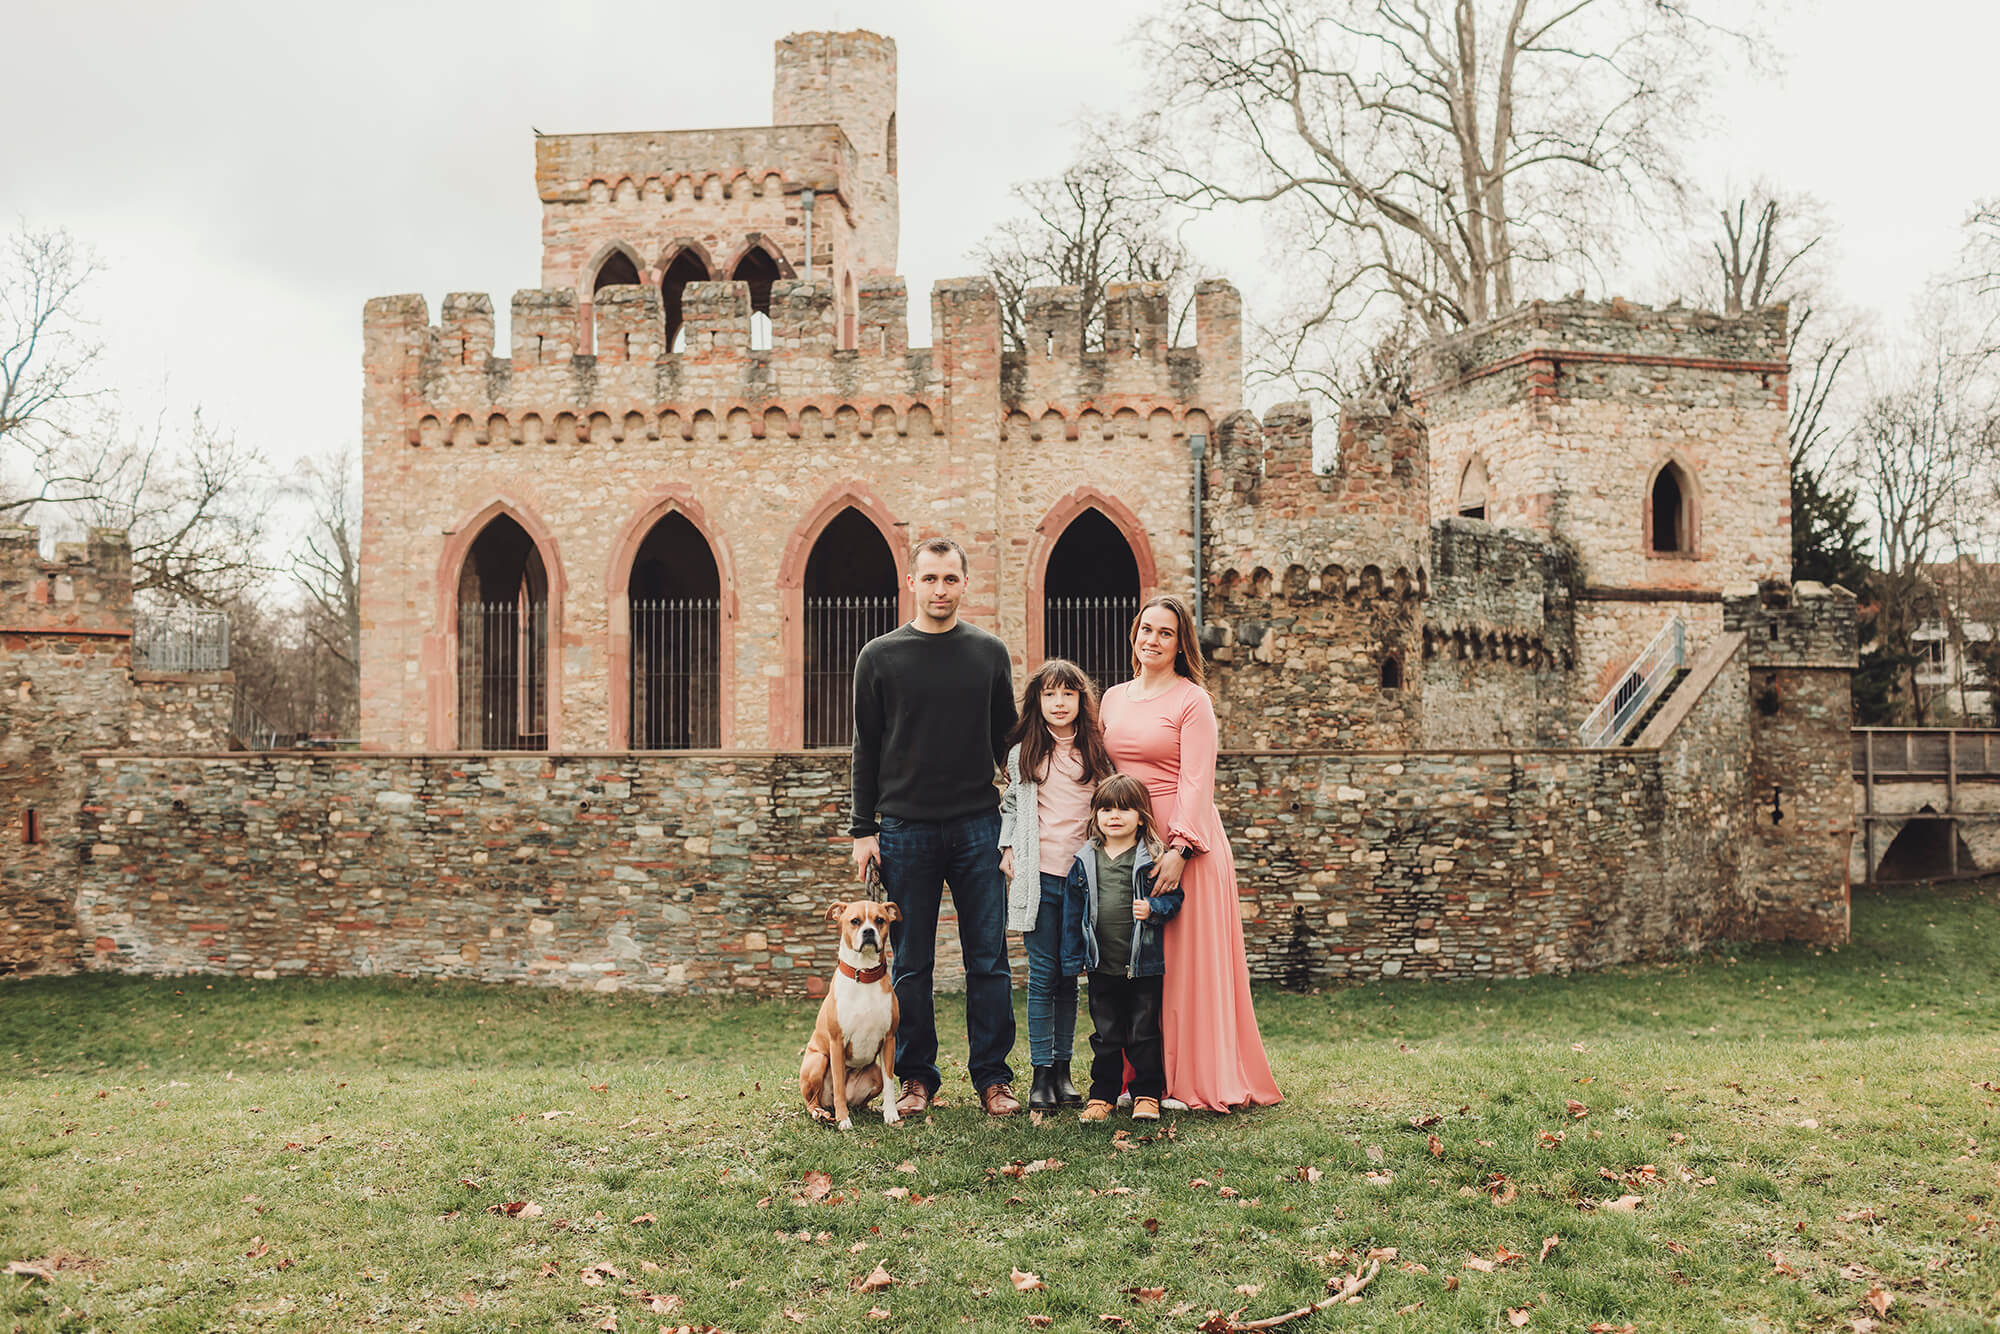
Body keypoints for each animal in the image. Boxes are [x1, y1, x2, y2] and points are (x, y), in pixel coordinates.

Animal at [800, 904, 904, 1136]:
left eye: (880, 920)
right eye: (855, 921)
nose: (868, 931)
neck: (864, 975)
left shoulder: (889, 1040)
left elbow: (890, 1082)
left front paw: (891, 1114)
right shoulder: (837, 1043)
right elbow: (838, 1084)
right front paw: (843, 1120)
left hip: (874, 1072)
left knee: (862, 1102)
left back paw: (872, 1109)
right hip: (818, 1061)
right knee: (812, 1101)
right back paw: (821, 1113)